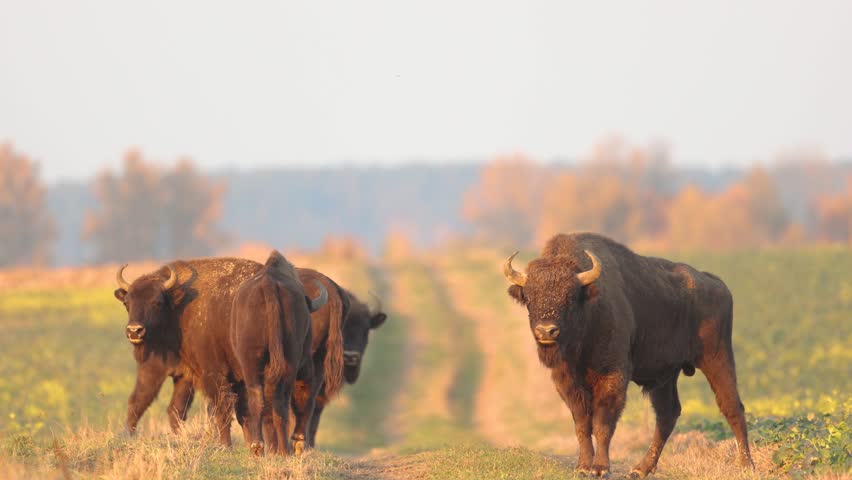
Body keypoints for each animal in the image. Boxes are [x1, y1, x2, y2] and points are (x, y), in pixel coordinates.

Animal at [111, 256, 324, 448]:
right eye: (127, 303)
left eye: (156, 302)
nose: (134, 331)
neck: (179, 307)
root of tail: (271, 286)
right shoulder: (191, 376)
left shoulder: (200, 372)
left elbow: (221, 409)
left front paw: (226, 446)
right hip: (295, 362)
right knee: (291, 398)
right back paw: (285, 448)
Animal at [502, 232, 756, 476]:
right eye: (529, 297)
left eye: (571, 297)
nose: (547, 330)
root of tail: (717, 283)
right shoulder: (567, 382)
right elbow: (582, 423)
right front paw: (583, 466)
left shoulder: (612, 375)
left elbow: (603, 422)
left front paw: (600, 468)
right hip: (666, 377)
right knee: (667, 414)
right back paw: (640, 469)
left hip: (718, 358)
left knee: (732, 406)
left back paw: (746, 465)